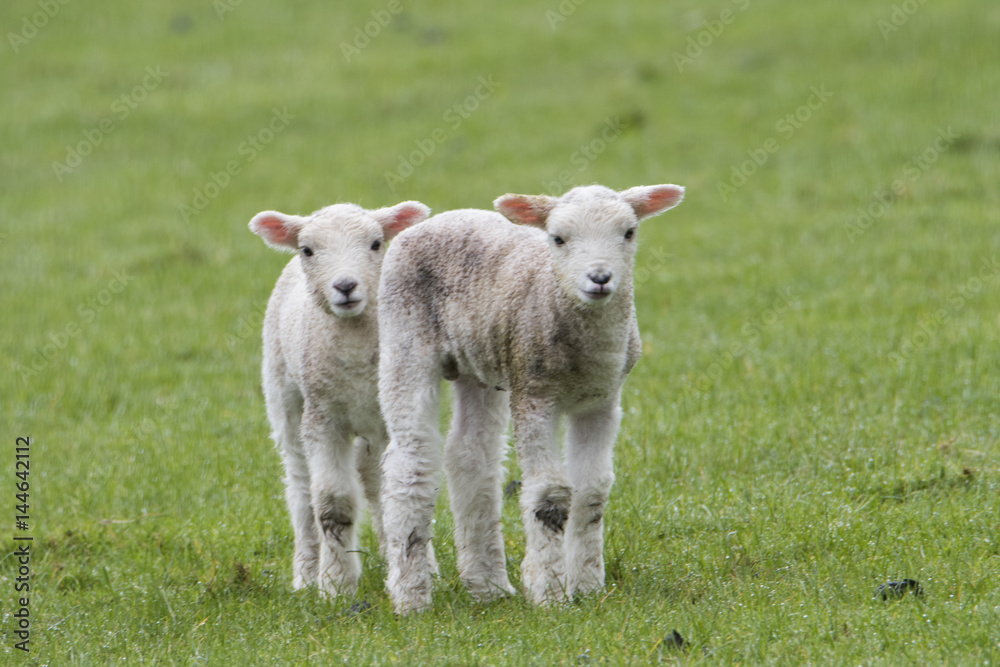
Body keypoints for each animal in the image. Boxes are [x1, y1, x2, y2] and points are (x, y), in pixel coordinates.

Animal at [249, 200, 430, 598]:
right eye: (308, 250)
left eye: (377, 244)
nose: (345, 286)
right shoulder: (324, 419)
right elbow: (333, 504)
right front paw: (335, 583)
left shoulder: (393, 417)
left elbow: (397, 494)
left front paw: (418, 569)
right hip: (284, 396)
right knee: (301, 490)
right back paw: (305, 573)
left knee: (373, 482)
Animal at [377, 183, 685, 613]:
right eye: (557, 238)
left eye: (629, 232)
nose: (600, 278)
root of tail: (439, 218)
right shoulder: (534, 393)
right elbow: (550, 494)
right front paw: (550, 593)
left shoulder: (603, 401)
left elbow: (593, 490)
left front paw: (588, 585)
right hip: (403, 336)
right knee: (411, 460)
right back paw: (411, 596)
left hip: (478, 360)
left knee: (471, 456)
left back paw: (487, 585)